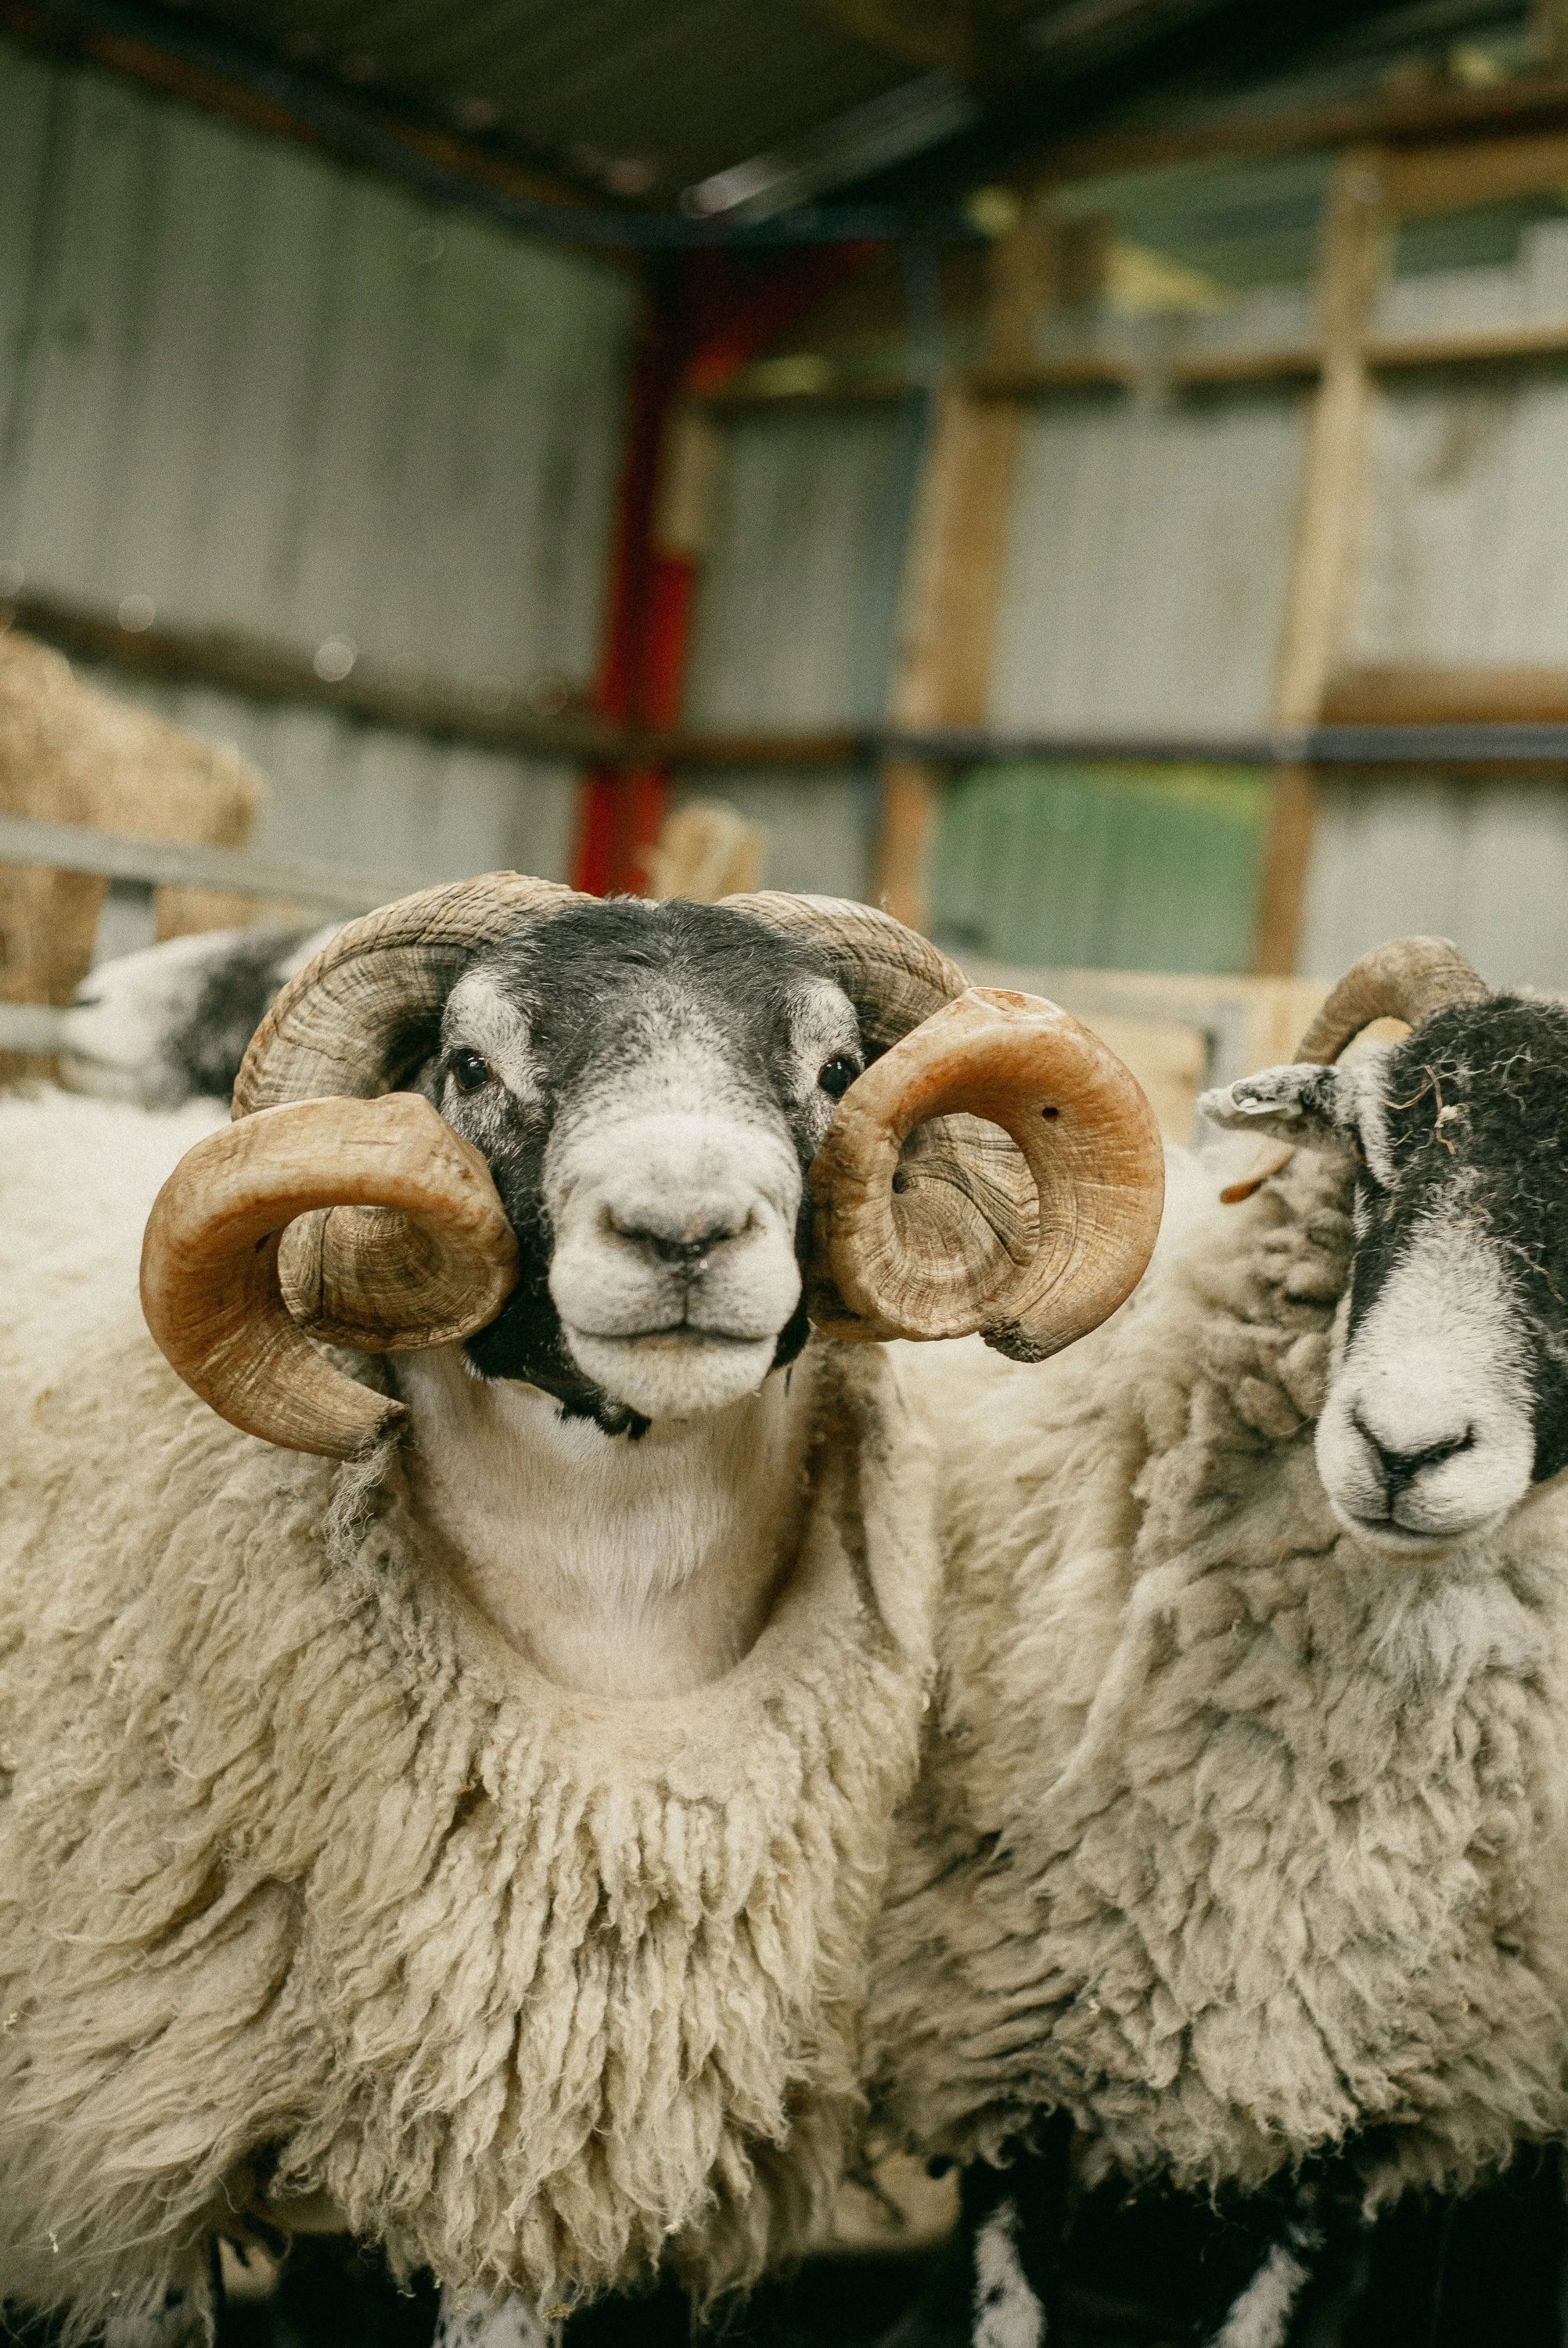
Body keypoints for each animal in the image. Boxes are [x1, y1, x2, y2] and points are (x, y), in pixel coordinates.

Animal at [0, 870, 1163, 2348]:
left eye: (836, 1069)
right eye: (468, 1066)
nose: (683, 1235)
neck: (618, 1635)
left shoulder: (542, 2123)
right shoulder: (129, 2149)